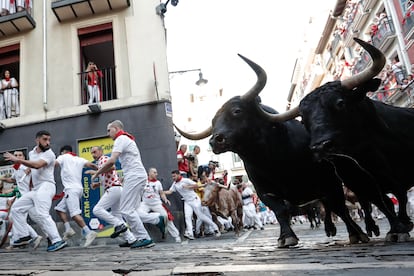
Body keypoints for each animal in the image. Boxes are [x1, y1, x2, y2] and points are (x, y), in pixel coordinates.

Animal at [175, 54, 372, 248]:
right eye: (213, 122)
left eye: (237, 111)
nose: (215, 140)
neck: (273, 160)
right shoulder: (264, 191)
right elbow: (280, 211)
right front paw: (286, 237)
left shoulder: (330, 180)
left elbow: (340, 207)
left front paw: (356, 233)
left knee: (338, 205)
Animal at [294, 37, 414, 240]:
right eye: (302, 119)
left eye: (340, 103)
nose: (320, 147)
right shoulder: (366, 182)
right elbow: (386, 202)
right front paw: (398, 227)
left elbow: (399, 197)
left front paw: (402, 225)